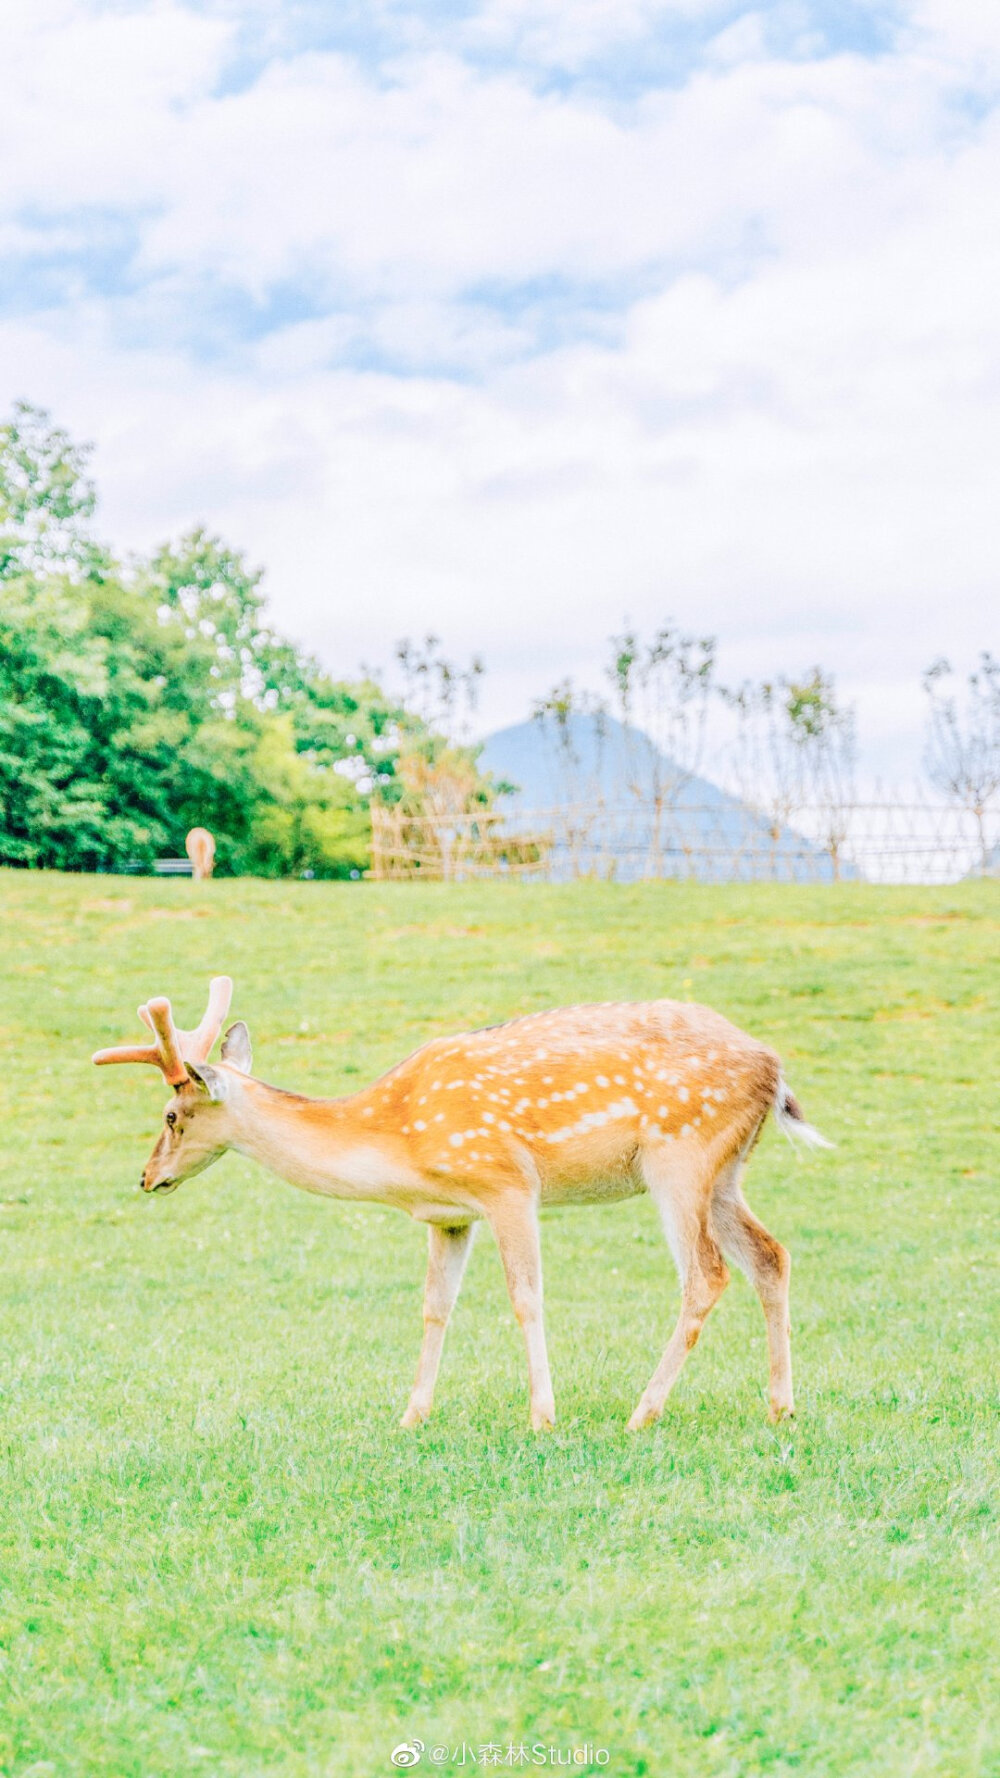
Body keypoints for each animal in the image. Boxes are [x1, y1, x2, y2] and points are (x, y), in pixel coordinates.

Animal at [93, 974, 829, 1429]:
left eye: (170, 1115)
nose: (146, 1177)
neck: (396, 1146)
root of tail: (775, 1070)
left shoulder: (506, 1182)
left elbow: (525, 1298)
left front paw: (542, 1416)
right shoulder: (449, 1216)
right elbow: (434, 1307)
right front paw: (412, 1415)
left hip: (680, 1154)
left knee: (707, 1274)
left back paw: (642, 1412)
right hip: (725, 1172)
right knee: (772, 1255)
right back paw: (781, 1406)